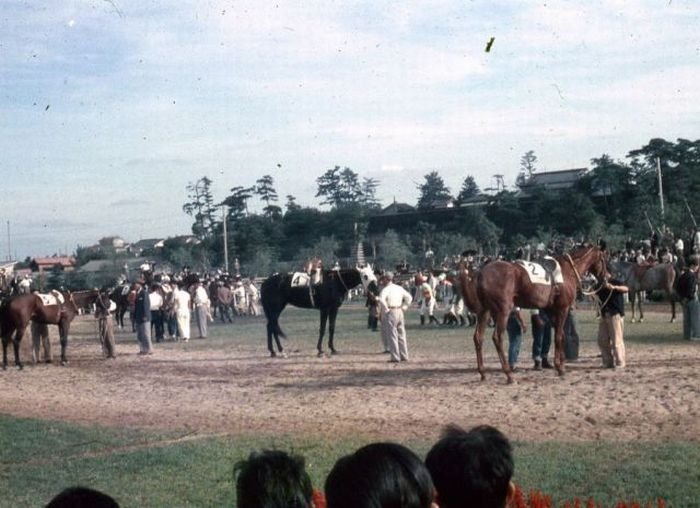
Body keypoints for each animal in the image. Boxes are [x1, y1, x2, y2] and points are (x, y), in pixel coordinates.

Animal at [476, 245, 608, 380]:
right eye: (603, 258)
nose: (606, 276)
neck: (567, 271)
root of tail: (481, 274)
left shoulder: (551, 311)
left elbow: (561, 336)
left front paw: (562, 364)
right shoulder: (562, 309)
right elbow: (558, 337)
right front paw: (559, 367)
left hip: (484, 311)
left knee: (478, 337)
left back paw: (483, 372)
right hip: (503, 311)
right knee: (497, 337)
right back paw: (509, 374)